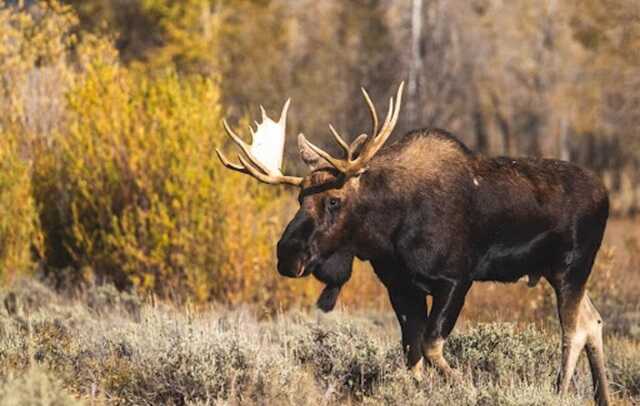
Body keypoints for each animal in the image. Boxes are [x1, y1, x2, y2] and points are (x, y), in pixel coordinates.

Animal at [215, 83, 608, 406]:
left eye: (334, 200)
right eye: (300, 199)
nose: (287, 254)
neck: (387, 233)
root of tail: (605, 195)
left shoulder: (455, 280)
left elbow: (432, 346)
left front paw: (468, 389)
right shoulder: (401, 287)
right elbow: (412, 354)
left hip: (571, 267)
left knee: (573, 330)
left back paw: (559, 392)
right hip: (556, 271)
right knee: (594, 320)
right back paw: (601, 397)